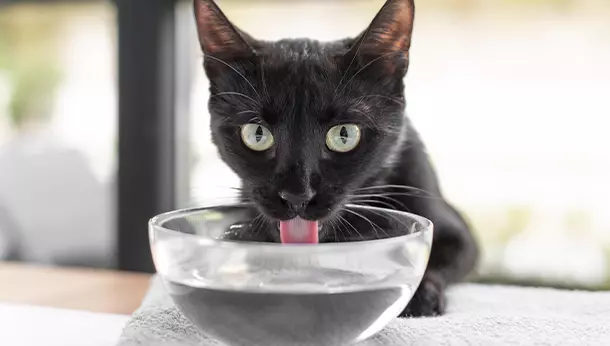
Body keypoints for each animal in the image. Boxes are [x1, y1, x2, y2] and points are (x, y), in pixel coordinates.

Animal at [192, 0, 478, 316]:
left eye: (345, 135)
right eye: (257, 134)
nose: (297, 195)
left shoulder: (458, 234)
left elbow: (432, 255)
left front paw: (420, 295)